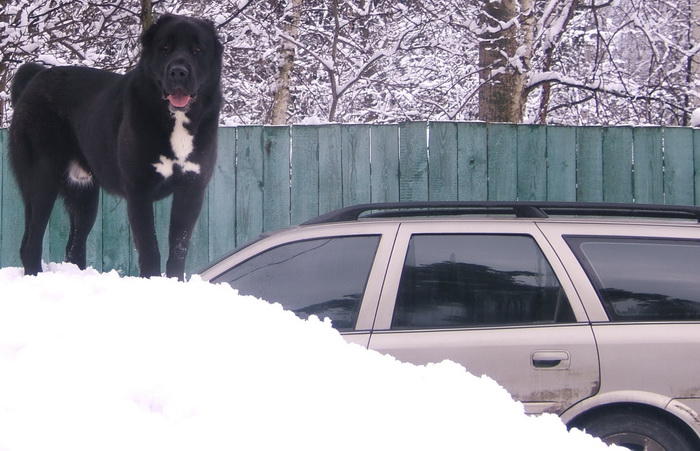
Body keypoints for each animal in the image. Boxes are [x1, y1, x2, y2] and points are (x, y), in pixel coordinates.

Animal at [11, 15, 224, 278]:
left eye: (197, 50)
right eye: (164, 48)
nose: (178, 72)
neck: (176, 120)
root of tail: (35, 78)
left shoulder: (191, 189)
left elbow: (178, 250)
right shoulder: (139, 191)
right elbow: (150, 248)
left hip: (84, 194)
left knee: (74, 246)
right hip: (42, 180)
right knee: (31, 243)